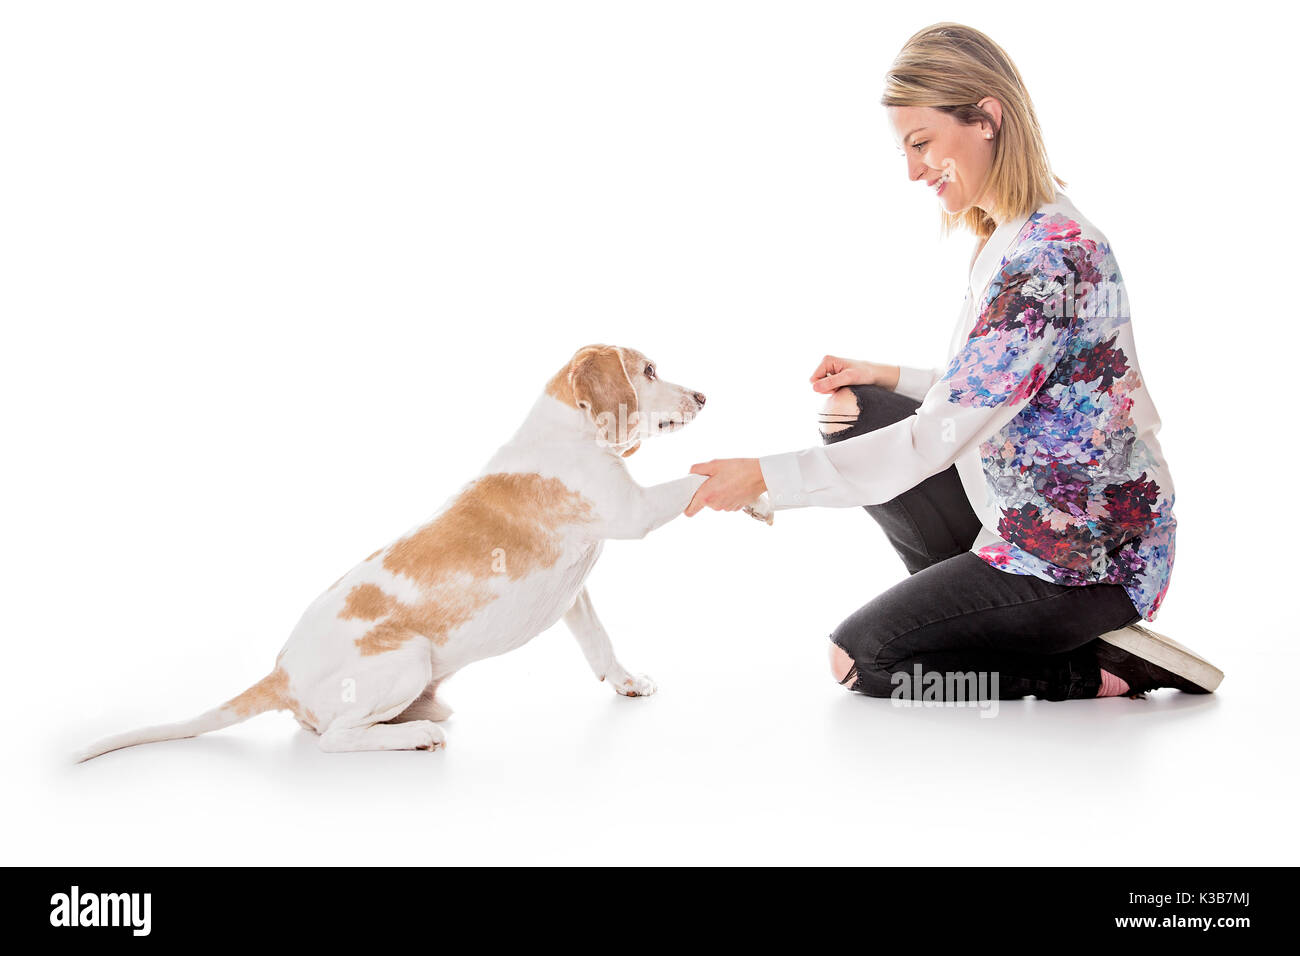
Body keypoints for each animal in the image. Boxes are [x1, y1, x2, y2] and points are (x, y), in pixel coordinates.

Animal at [76, 343, 769, 764]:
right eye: (648, 371)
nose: (704, 397)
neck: (569, 434)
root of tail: (281, 674)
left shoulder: (577, 593)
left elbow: (600, 643)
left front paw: (626, 683)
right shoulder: (635, 515)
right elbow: (694, 483)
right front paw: (756, 492)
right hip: (406, 661)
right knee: (331, 739)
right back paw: (416, 734)